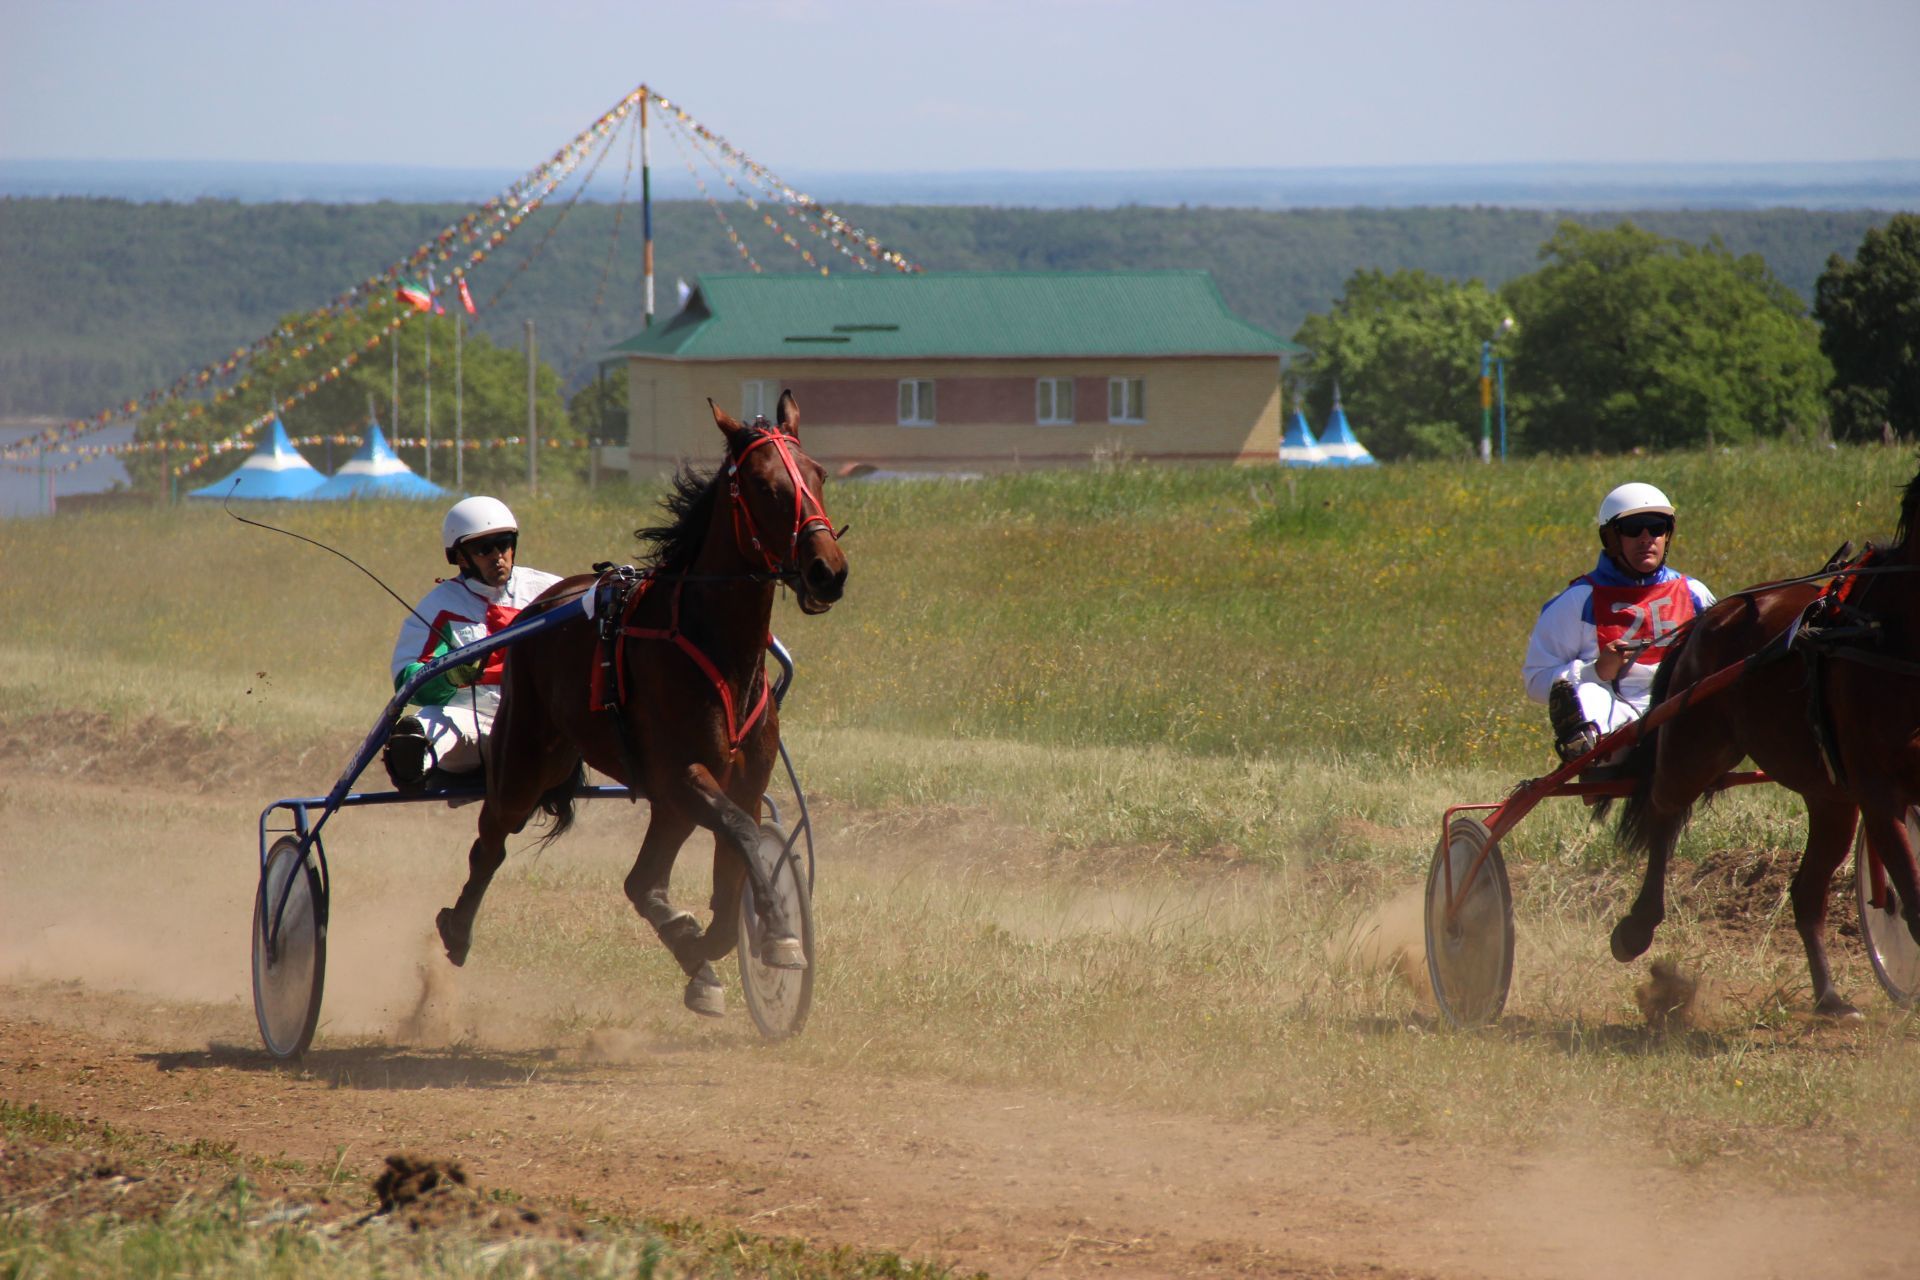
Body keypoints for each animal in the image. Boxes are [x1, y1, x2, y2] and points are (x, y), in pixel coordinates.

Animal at [445, 395, 852, 1013]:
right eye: (763, 484)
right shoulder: (684, 772)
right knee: (490, 840)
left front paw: (718, 945)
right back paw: (456, 928)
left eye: (818, 473)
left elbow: (736, 864)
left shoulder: (742, 780)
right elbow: (743, 836)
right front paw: (776, 930)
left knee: (643, 881)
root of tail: (541, 606)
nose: (827, 571)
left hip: (661, 801)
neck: (715, 644)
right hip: (527, 759)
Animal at [1612, 466, 1920, 1013]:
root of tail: (1711, 616)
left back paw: (1830, 997)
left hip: (1830, 796)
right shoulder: (1881, 793)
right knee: (1663, 811)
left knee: (1806, 891)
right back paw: (1636, 927)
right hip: (1697, 744)